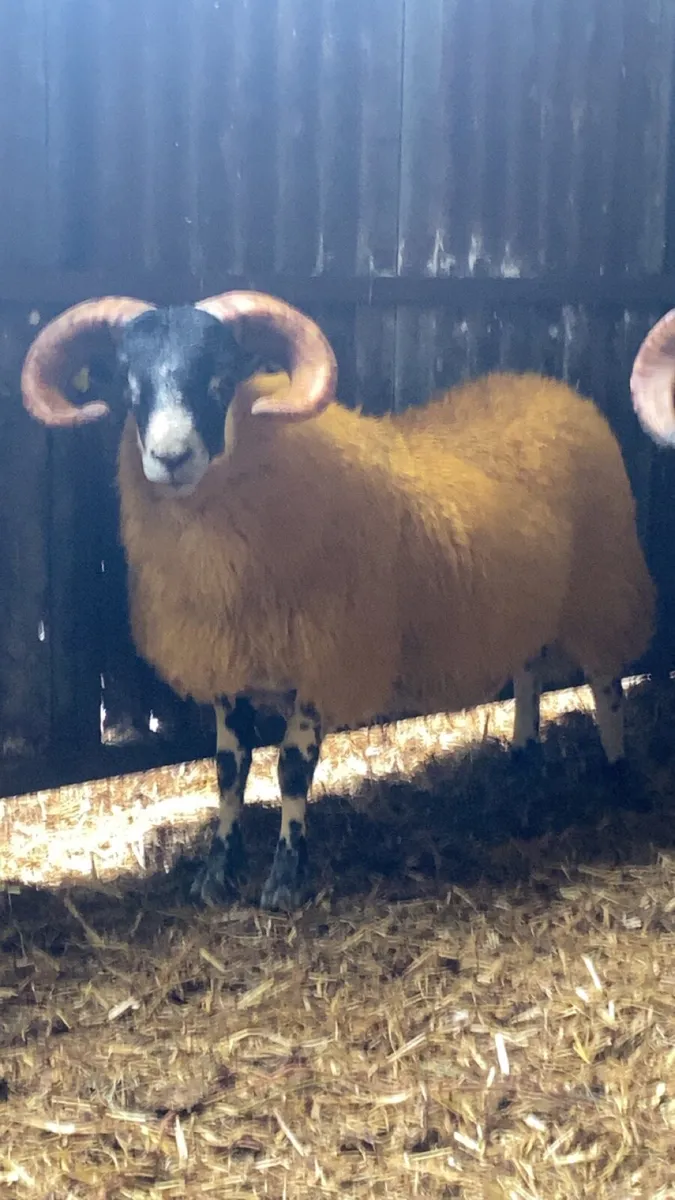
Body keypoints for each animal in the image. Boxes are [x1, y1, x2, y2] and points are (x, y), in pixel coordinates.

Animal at [21, 291, 656, 911]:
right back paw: (523, 761)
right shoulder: (226, 662)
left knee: (607, 685)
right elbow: (228, 770)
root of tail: (551, 388)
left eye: (221, 378)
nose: (170, 457)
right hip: (526, 600)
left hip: (602, 584)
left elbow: (291, 770)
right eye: (130, 384)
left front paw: (284, 881)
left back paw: (616, 775)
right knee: (527, 672)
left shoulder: (325, 658)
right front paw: (217, 874)